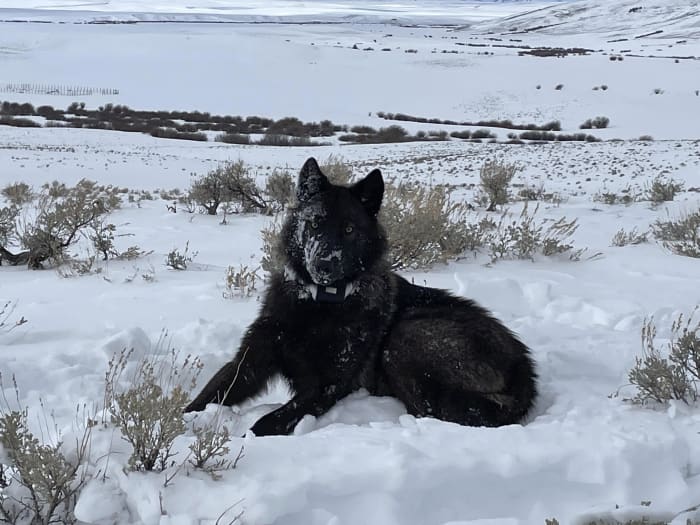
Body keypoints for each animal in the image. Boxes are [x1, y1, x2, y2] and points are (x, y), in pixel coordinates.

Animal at [185, 158, 537, 435]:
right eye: (315, 223)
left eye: (350, 229)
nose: (324, 263)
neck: (320, 305)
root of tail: (524, 367)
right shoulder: (250, 362)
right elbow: (206, 396)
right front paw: (180, 426)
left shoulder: (326, 386)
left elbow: (266, 424)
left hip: (407, 337)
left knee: (433, 409)